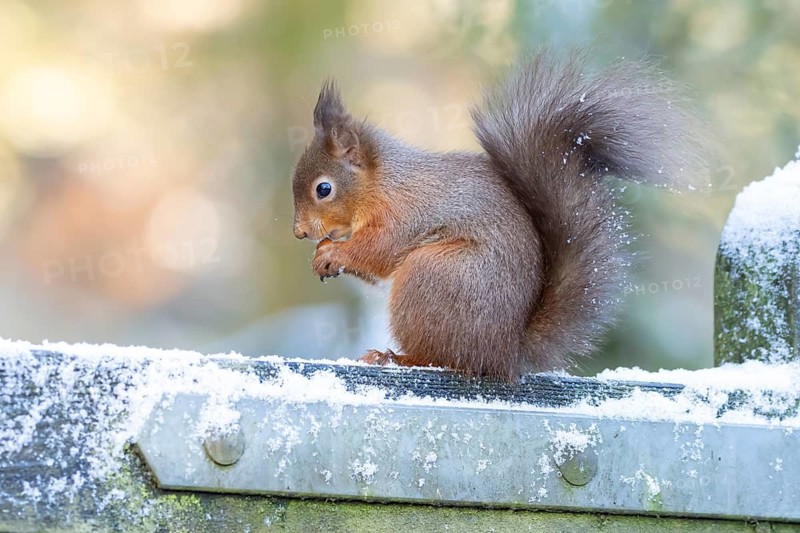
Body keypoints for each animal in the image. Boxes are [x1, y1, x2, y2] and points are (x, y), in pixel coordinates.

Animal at [291, 51, 701, 381]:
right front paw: (322, 255)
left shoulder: (404, 214)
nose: (298, 232)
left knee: (443, 359)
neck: (382, 183)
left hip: (432, 277)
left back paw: (395, 358)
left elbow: (379, 251)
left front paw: (334, 252)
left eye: (323, 189)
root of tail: (505, 352)